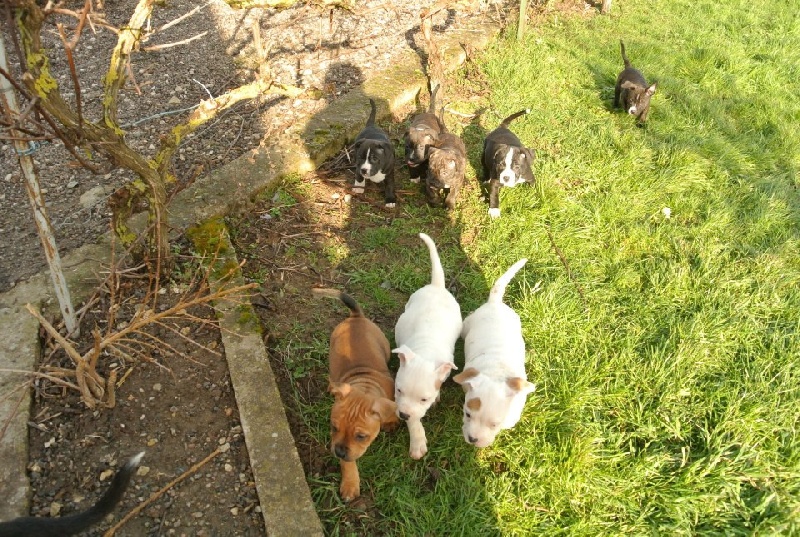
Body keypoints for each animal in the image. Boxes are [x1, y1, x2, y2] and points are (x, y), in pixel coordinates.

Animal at [312, 286, 400, 500]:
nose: (339, 452)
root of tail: (355, 316)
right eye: (333, 427)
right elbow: (348, 463)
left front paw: (391, 422)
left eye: (361, 436)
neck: (364, 386)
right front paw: (350, 483)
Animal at [394, 232, 462, 458]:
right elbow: (415, 418)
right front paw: (417, 441)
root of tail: (437, 286)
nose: (403, 415)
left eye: (424, 399)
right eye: (398, 390)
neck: (425, 351)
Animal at [454, 260, 536, 448]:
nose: (472, 439)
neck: (495, 372)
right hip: (467, 325)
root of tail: (495, 303)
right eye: (467, 414)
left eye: (494, 424)